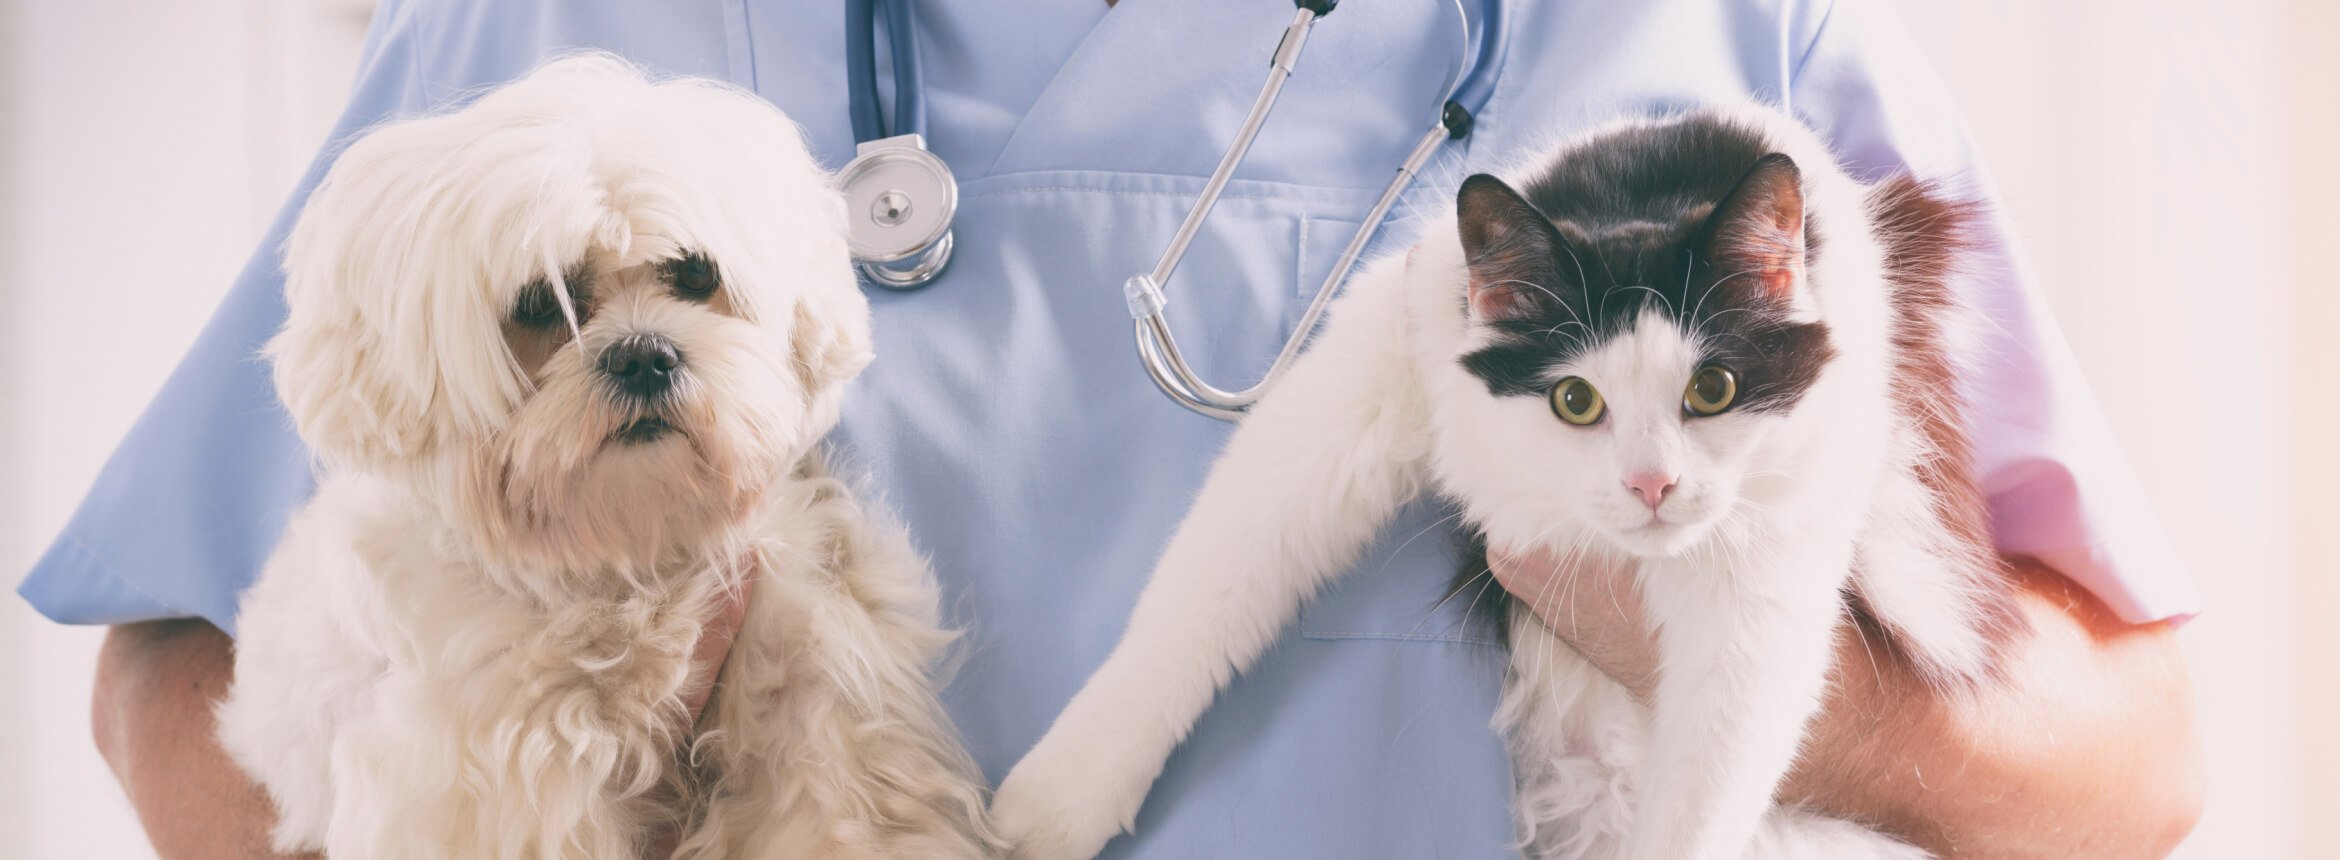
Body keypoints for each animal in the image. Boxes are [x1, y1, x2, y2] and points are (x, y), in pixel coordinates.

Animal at [210, 55, 996, 860]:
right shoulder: (496, 776)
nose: (644, 355)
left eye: (695, 273)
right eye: (539, 304)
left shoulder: (810, 676)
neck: (624, 554)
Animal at [978, 102, 2021, 860]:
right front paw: (1056, 801)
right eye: (1575, 401)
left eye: (1713, 390)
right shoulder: (1368, 383)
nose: (1652, 486)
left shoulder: (1762, 585)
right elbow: (1196, 603)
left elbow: (1705, 792)